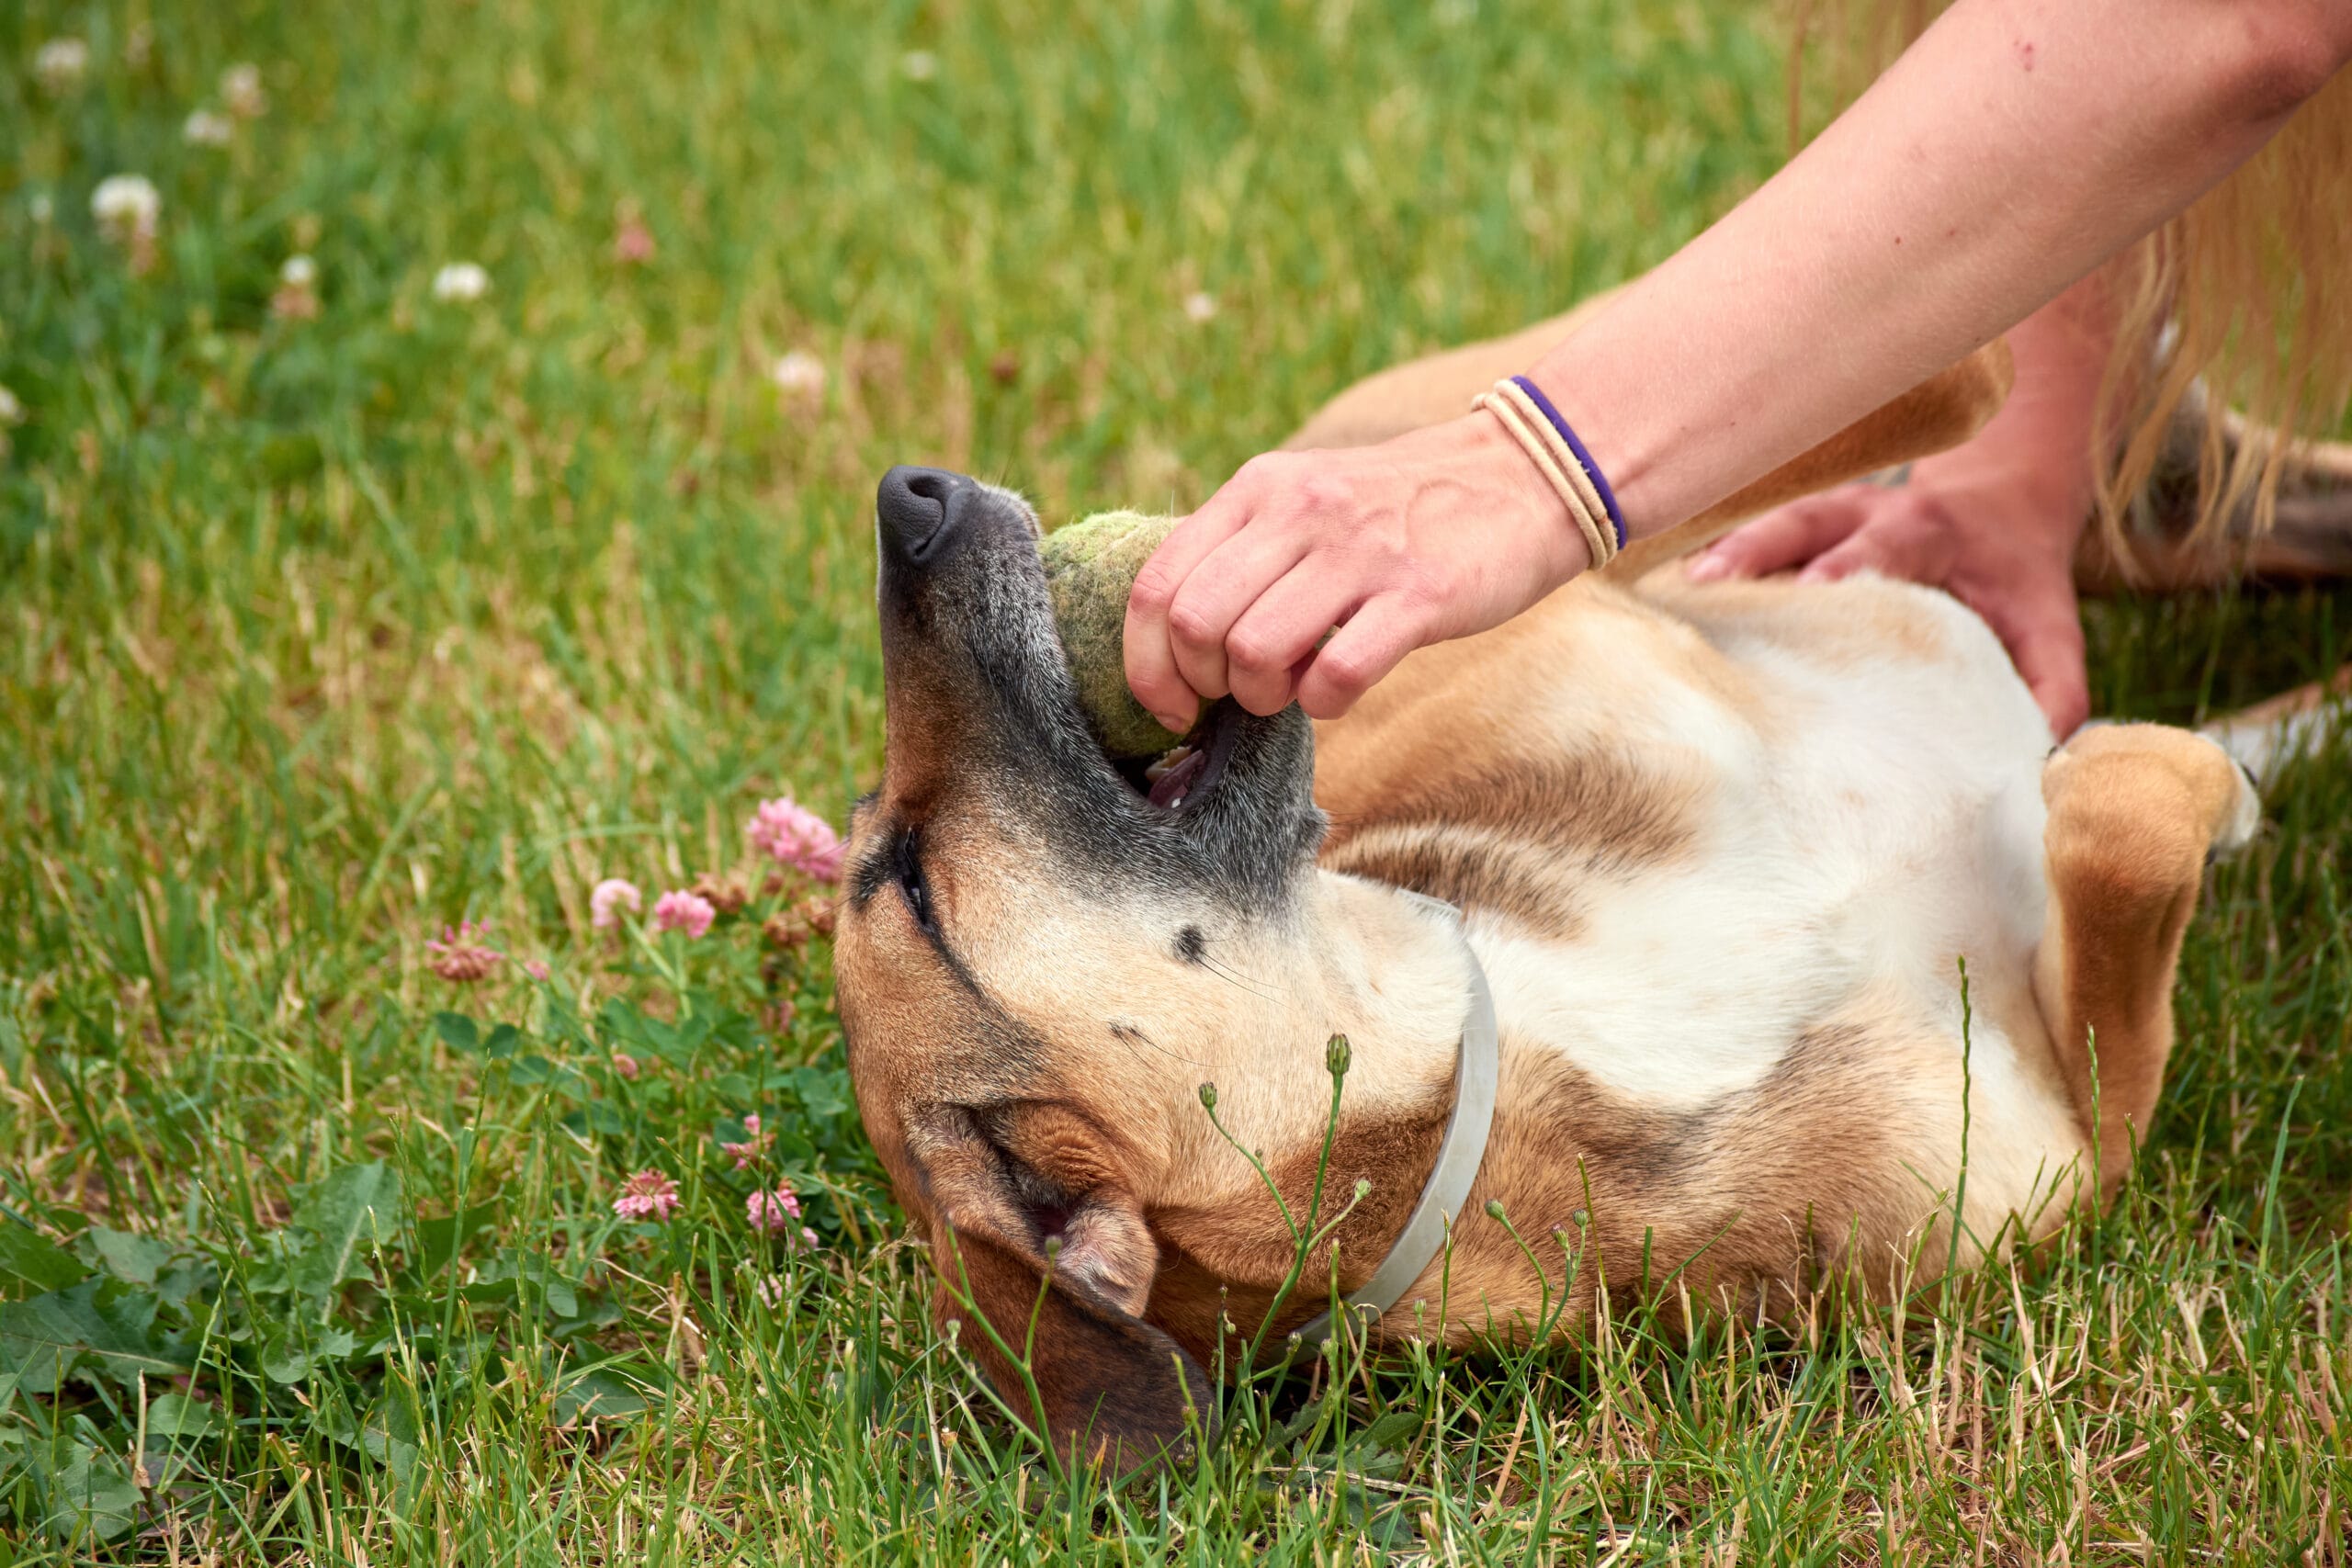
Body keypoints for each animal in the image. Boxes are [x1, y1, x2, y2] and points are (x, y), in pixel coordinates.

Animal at [837, 329, 2267, 1476]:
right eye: (907, 880)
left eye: (877, 843)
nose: (906, 496)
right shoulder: (2074, 1150)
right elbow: (2128, 816)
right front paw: (2184, 774)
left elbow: (1931, 388)